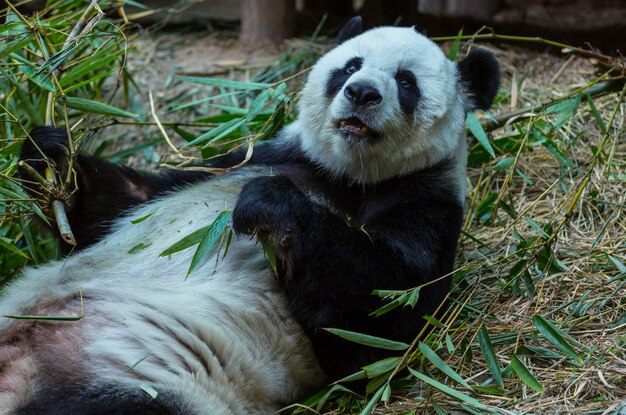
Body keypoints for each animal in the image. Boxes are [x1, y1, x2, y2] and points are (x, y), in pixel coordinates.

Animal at [1, 17, 498, 415]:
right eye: (350, 66)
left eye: (407, 82)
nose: (361, 92)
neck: (346, 175)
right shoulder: (255, 156)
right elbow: (116, 208)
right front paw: (48, 157)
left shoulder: (425, 205)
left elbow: (378, 320)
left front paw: (269, 203)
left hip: (137, 375)